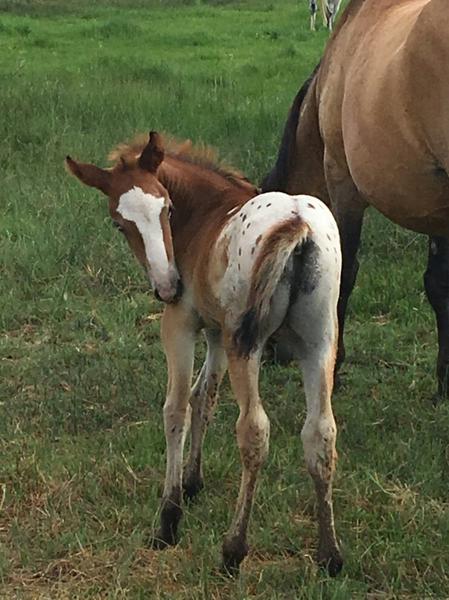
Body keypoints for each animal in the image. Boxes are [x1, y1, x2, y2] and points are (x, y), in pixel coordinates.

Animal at [66, 131, 343, 575]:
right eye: (119, 223)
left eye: (167, 208)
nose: (167, 286)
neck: (205, 215)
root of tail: (296, 223)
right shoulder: (216, 333)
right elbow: (204, 398)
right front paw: (193, 481)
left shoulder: (181, 325)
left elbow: (176, 407)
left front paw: (169, 517)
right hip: (318, 342)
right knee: (321, 433)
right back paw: (330, 555)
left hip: (247, 345)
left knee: (254, 430)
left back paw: (233, 548)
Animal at [263, 0, 449, 400]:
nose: (270, 352)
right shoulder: (437, 206)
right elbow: (438, 283)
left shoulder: (342, 184)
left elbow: (344, 272)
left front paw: (334, 363)